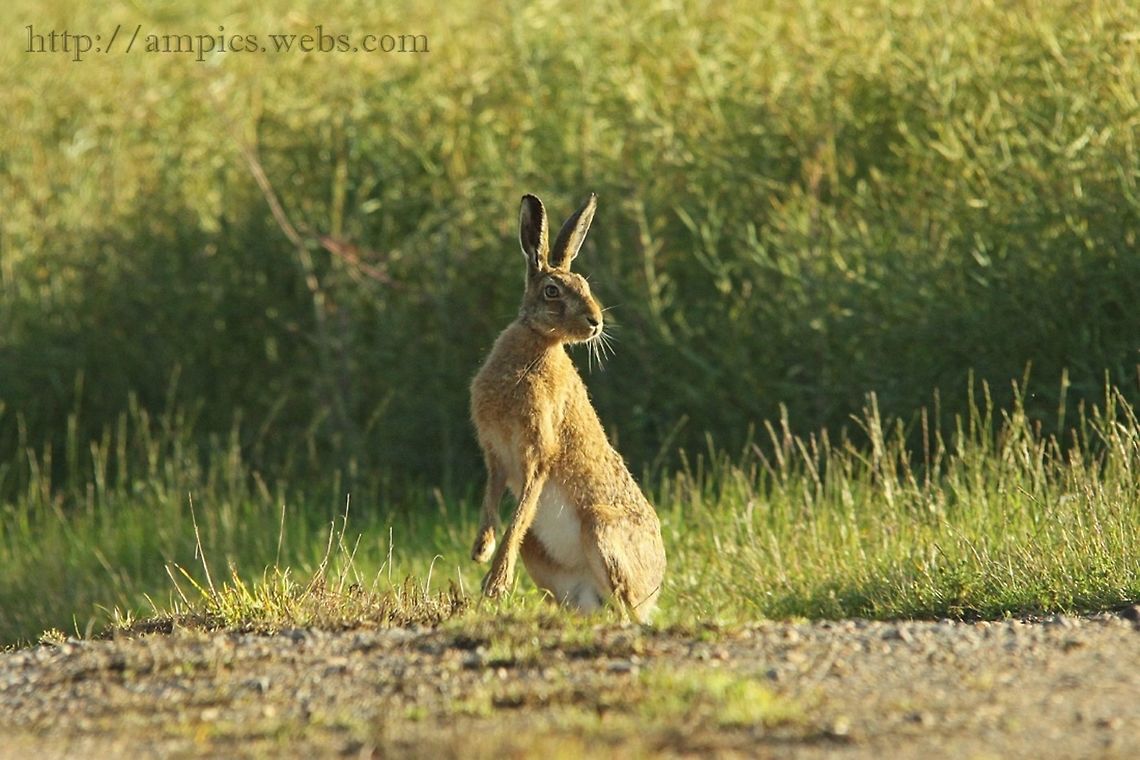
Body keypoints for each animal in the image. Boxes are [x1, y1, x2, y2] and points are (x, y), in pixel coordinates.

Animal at [469, 192, 666, 623]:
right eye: (552, 291)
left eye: (586, 286)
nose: (595, 323)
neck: (538, 342)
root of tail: (654, 588)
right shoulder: (496, 456)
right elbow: (492, 503)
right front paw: (481, 550)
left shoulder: (538, 454)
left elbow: (520, 512)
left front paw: (495, 584)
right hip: (546, 555)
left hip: (601, 529)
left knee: (625, 608)